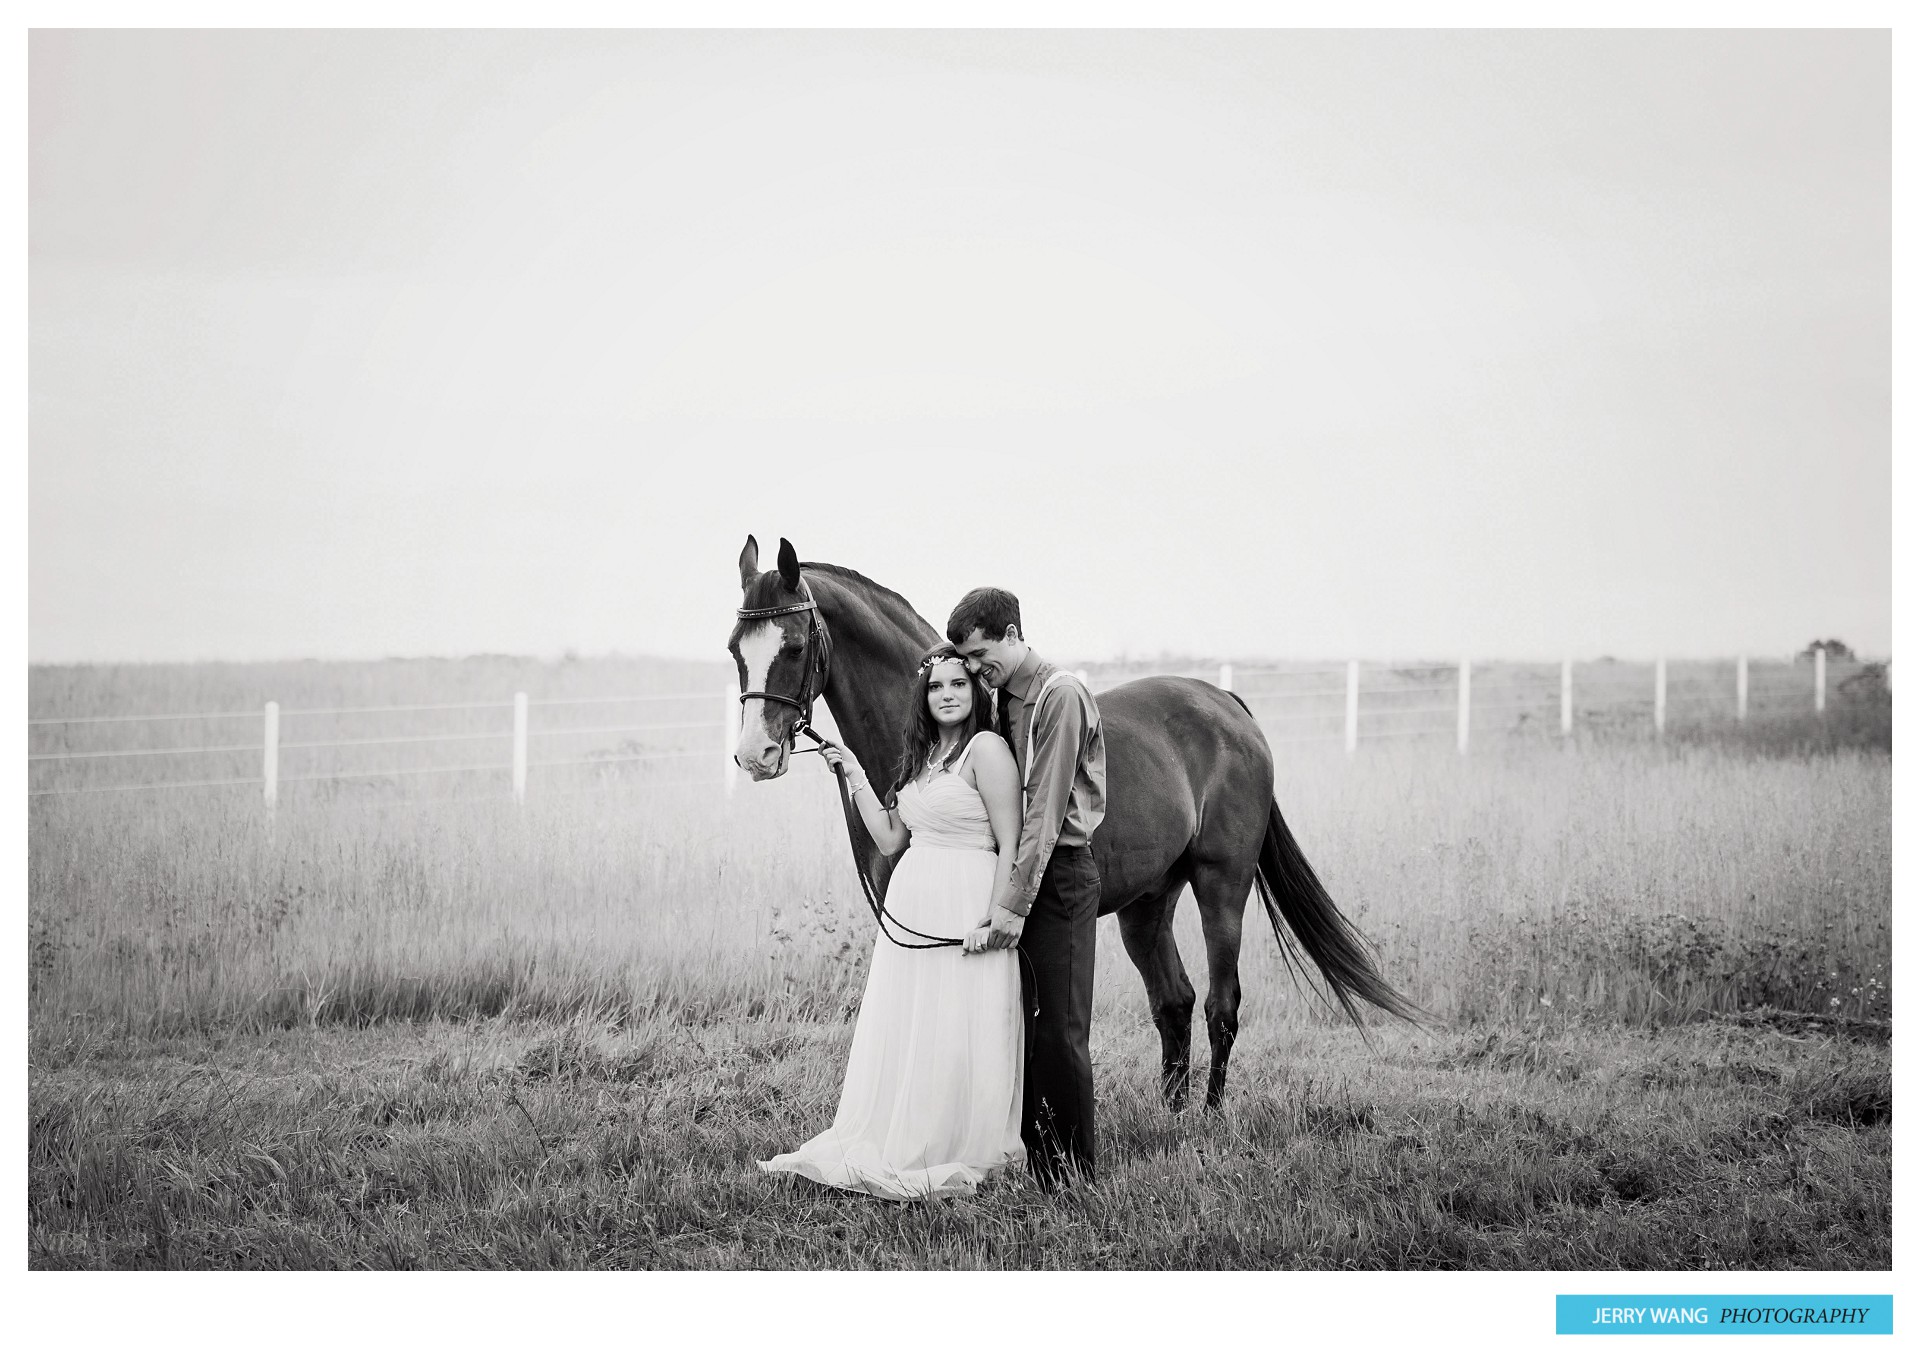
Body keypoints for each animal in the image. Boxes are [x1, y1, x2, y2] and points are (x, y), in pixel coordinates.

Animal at [725, 537, 1420, 1105]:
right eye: (735, 649)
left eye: (793, 645)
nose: (755, 755)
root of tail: (1225, 705)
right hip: (1148, 905)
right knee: (1174, 1003)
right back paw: (1170, 1116)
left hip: (1222, 884)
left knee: (1222, 1005)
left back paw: (1209, 1117)